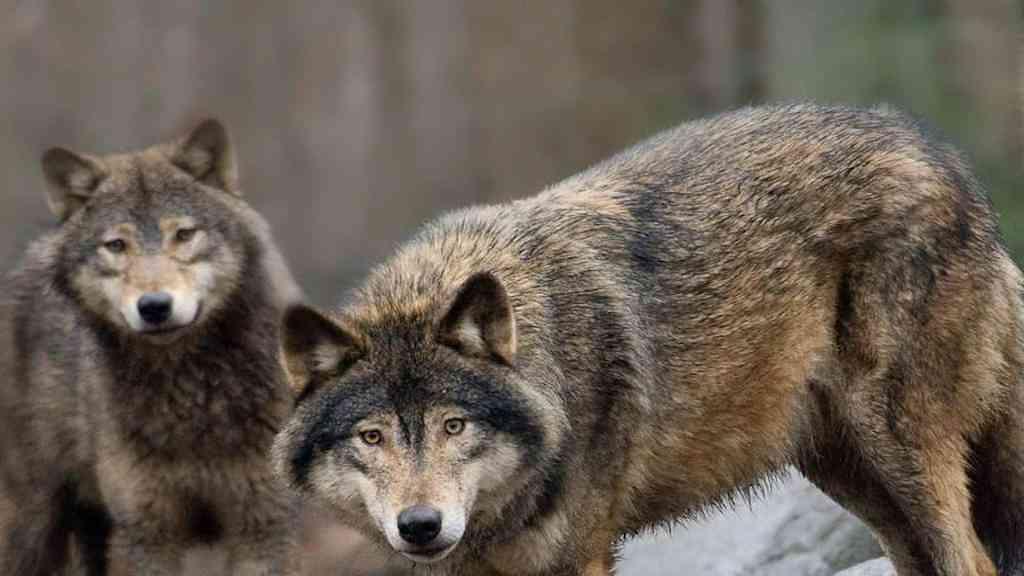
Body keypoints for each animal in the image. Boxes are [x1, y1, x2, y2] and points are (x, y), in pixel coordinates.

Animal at [0, 119, 303, 575]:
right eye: (116, 245)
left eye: (183, 234)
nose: (155, 306)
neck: (191, 398)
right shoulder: (147, 534)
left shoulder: (264, 525)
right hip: (34, 525)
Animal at [272, 104, 1024, 576]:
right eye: (371, 436)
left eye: (454, 425)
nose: (420, 525)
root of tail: (944, 158)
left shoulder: (580, 556)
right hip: (848, 472)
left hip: (898, 444)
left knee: (975, 561)